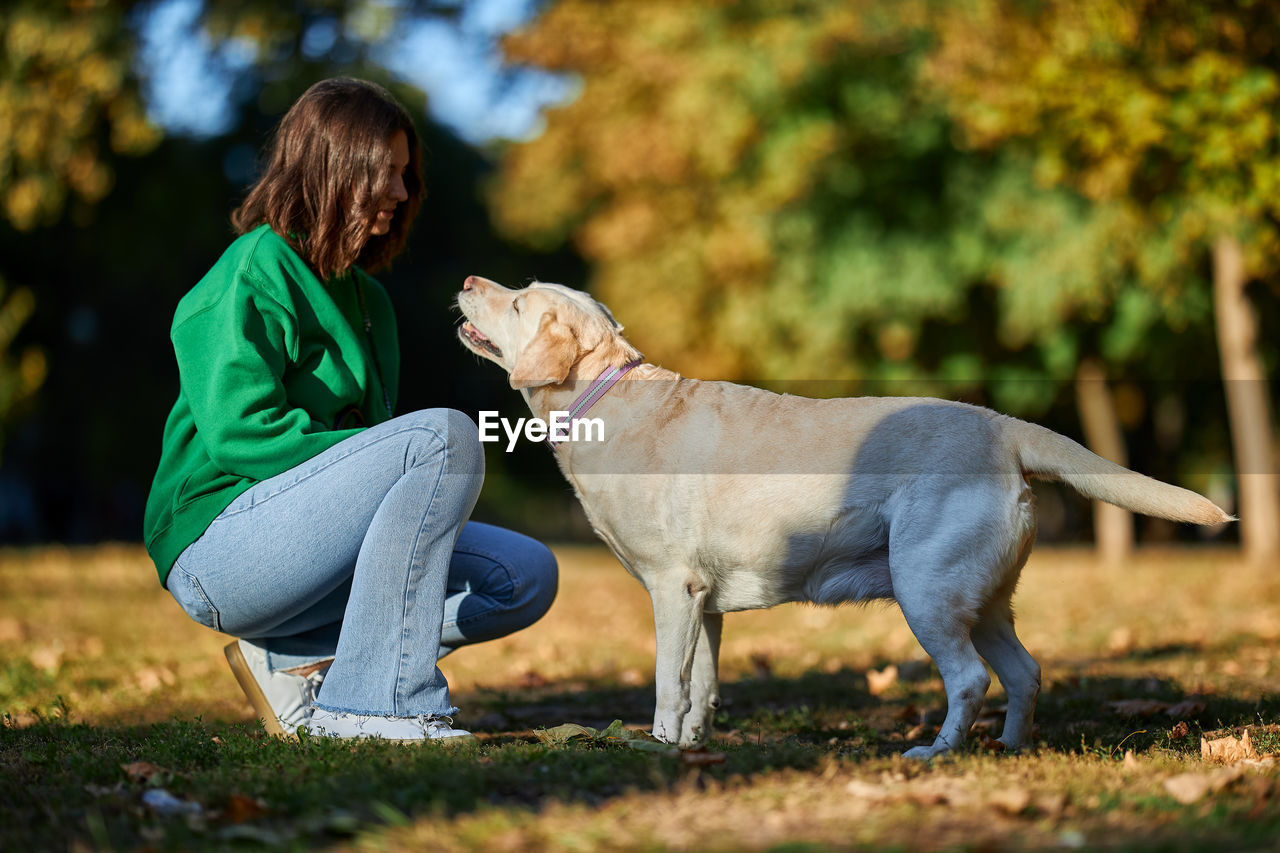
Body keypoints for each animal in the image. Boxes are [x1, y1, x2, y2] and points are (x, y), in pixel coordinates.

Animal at [458, 275, 1228, 753]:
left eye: (519, 303)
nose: (467, 282)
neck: (609, 402)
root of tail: (1001, 426)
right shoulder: (704, 601)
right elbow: (704, 685)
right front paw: (693, 749)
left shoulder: (672, 590)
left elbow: (667, 685)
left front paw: (657, 744)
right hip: (980, 598)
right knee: (1026, 672)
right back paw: (1009, 748)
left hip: (925, 587)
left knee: (971, 679)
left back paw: (936, 753)